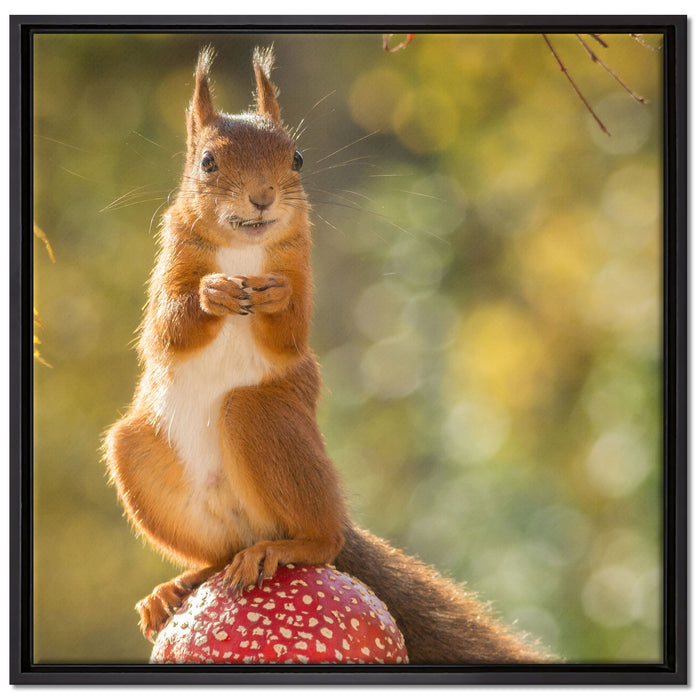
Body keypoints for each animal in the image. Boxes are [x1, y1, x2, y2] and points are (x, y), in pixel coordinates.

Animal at [103, 46, 553, 665]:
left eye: (296, 157)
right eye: (208, 163)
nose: (263, 196)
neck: (243, 251)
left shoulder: (301, 264)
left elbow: (291, 331)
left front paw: (275, 299)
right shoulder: (170, 263)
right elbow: (166, 327)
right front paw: (211, 294)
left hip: (266, 418)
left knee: (321, 539)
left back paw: (284, 549)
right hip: (138, 457)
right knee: (217, 556)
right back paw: (178, 586)